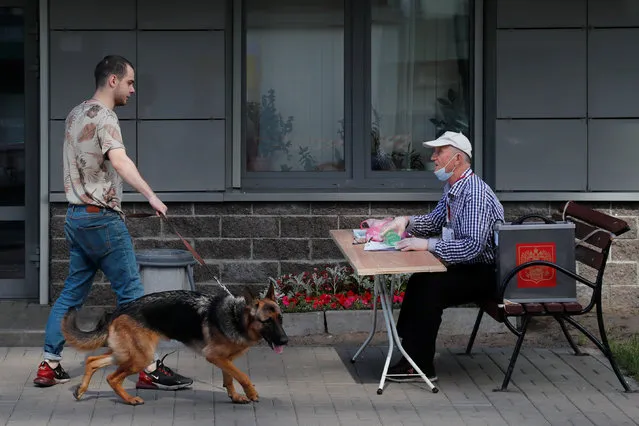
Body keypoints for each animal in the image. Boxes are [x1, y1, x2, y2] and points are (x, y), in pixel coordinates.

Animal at [62, 282, 288, 406]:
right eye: (267, 322)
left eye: (281, 319)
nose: (285, 341)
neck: (236, 316)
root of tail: (120, 310)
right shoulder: (215, 356)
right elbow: (242, 376)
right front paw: (251, 393)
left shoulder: (225, 359)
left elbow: (230, 378)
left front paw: (235, 396)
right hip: (140, 357)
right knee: (112, 378)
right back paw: (130, 400)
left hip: (126, 354)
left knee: (92, 360)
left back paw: (82, 390)